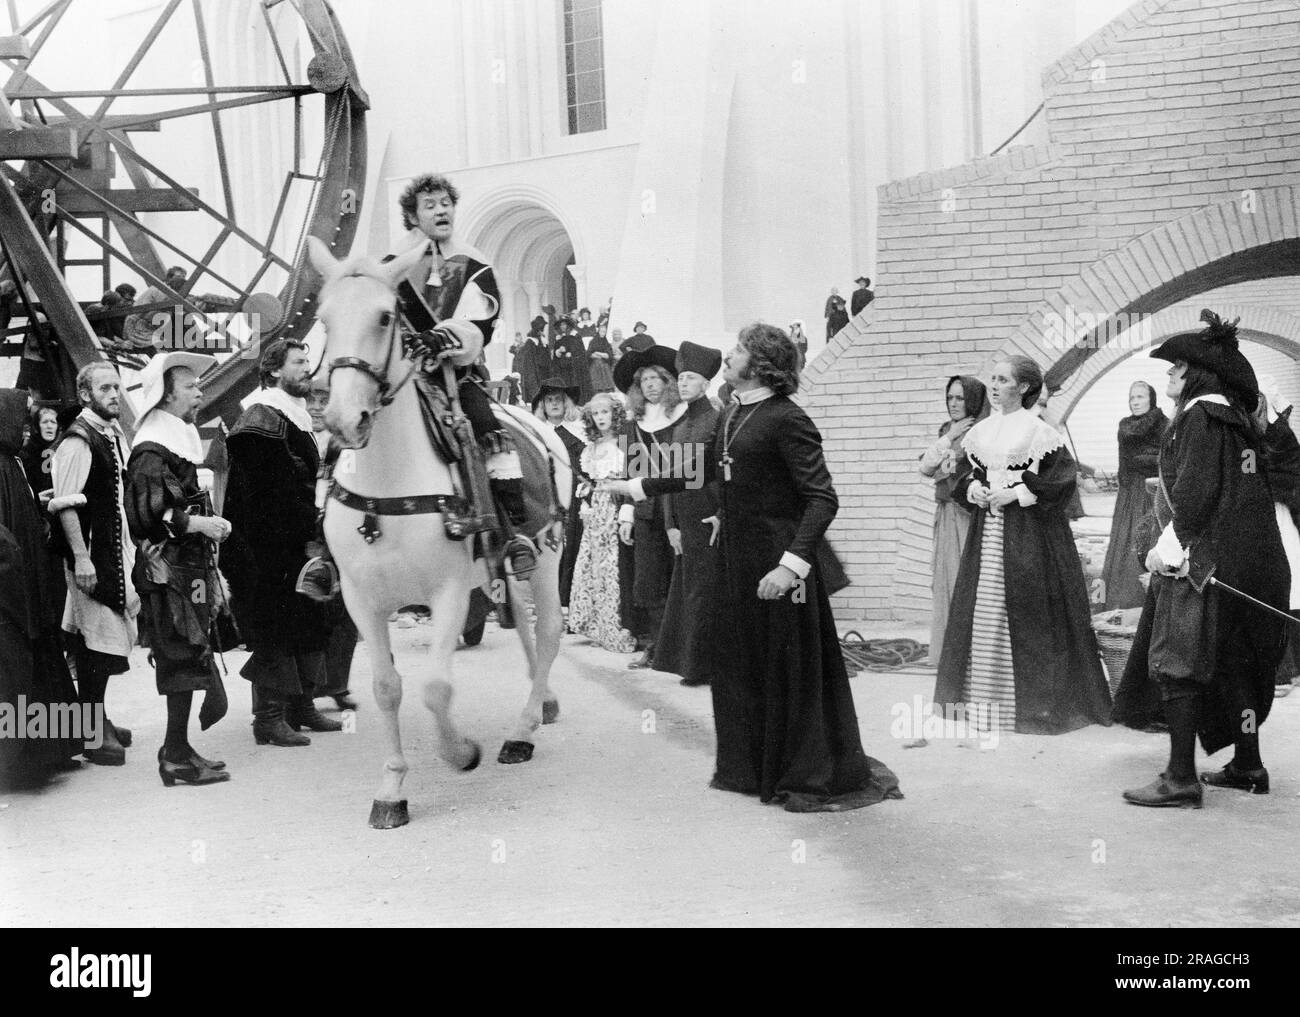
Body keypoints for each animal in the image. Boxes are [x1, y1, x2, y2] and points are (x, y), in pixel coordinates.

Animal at [309, 236, 569, 827]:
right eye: (324, 318)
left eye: (386, 317)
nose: (343, 421)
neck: (387, 488)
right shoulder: (361, 599)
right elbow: (387, 687)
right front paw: (392, 787)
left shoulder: (447, 591)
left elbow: (434, 687)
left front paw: (461, 753)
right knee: (525, 628)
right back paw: (541, 702)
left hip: (545, 556)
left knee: (547, 632)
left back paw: (522, 731)